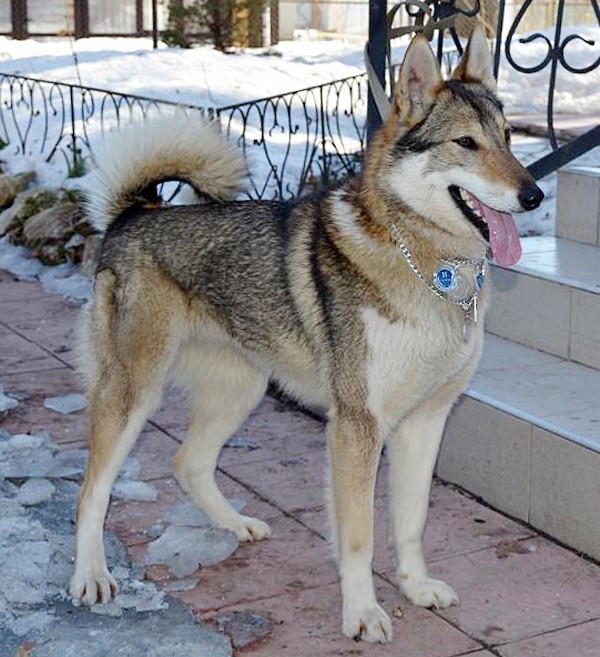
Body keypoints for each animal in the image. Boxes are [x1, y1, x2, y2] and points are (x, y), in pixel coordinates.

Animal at [69, 27, 543, 643]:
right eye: (466, 143)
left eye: (508, 138)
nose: (534, 195)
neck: (429, 267)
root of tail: (133, 214)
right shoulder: (357, 426)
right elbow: (360, 535)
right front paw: (362, 613)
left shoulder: (425, 422)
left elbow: (411, 523)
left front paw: (416, 589)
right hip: (133, 395)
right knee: (90, 491)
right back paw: (90, 578)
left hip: (241, 390)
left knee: (188, 463)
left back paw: (236, 525)